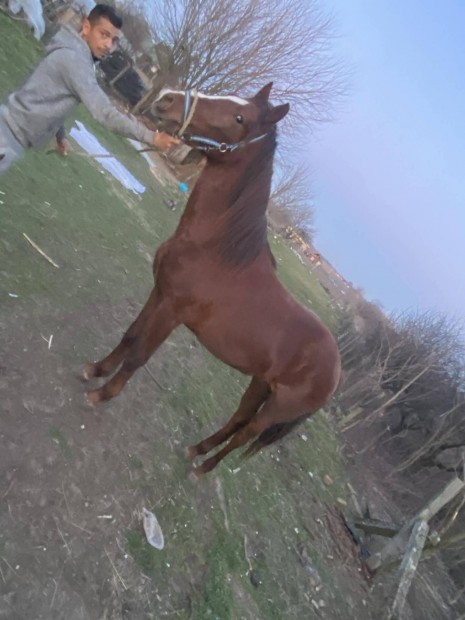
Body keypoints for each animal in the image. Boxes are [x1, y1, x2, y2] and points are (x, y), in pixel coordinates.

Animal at [83, 83, 341, 477]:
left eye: (240, 118)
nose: (168, 99)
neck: (215, 252)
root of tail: (338, 368)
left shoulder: (172, 311)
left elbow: (140, 354)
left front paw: (102, 394)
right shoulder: (159, 293)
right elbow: (130, 335)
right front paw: (95, 369)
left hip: (277, 408)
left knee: (246, 433)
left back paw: (204, 469)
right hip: (259, 385)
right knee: (237, 420)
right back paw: (195, 449)